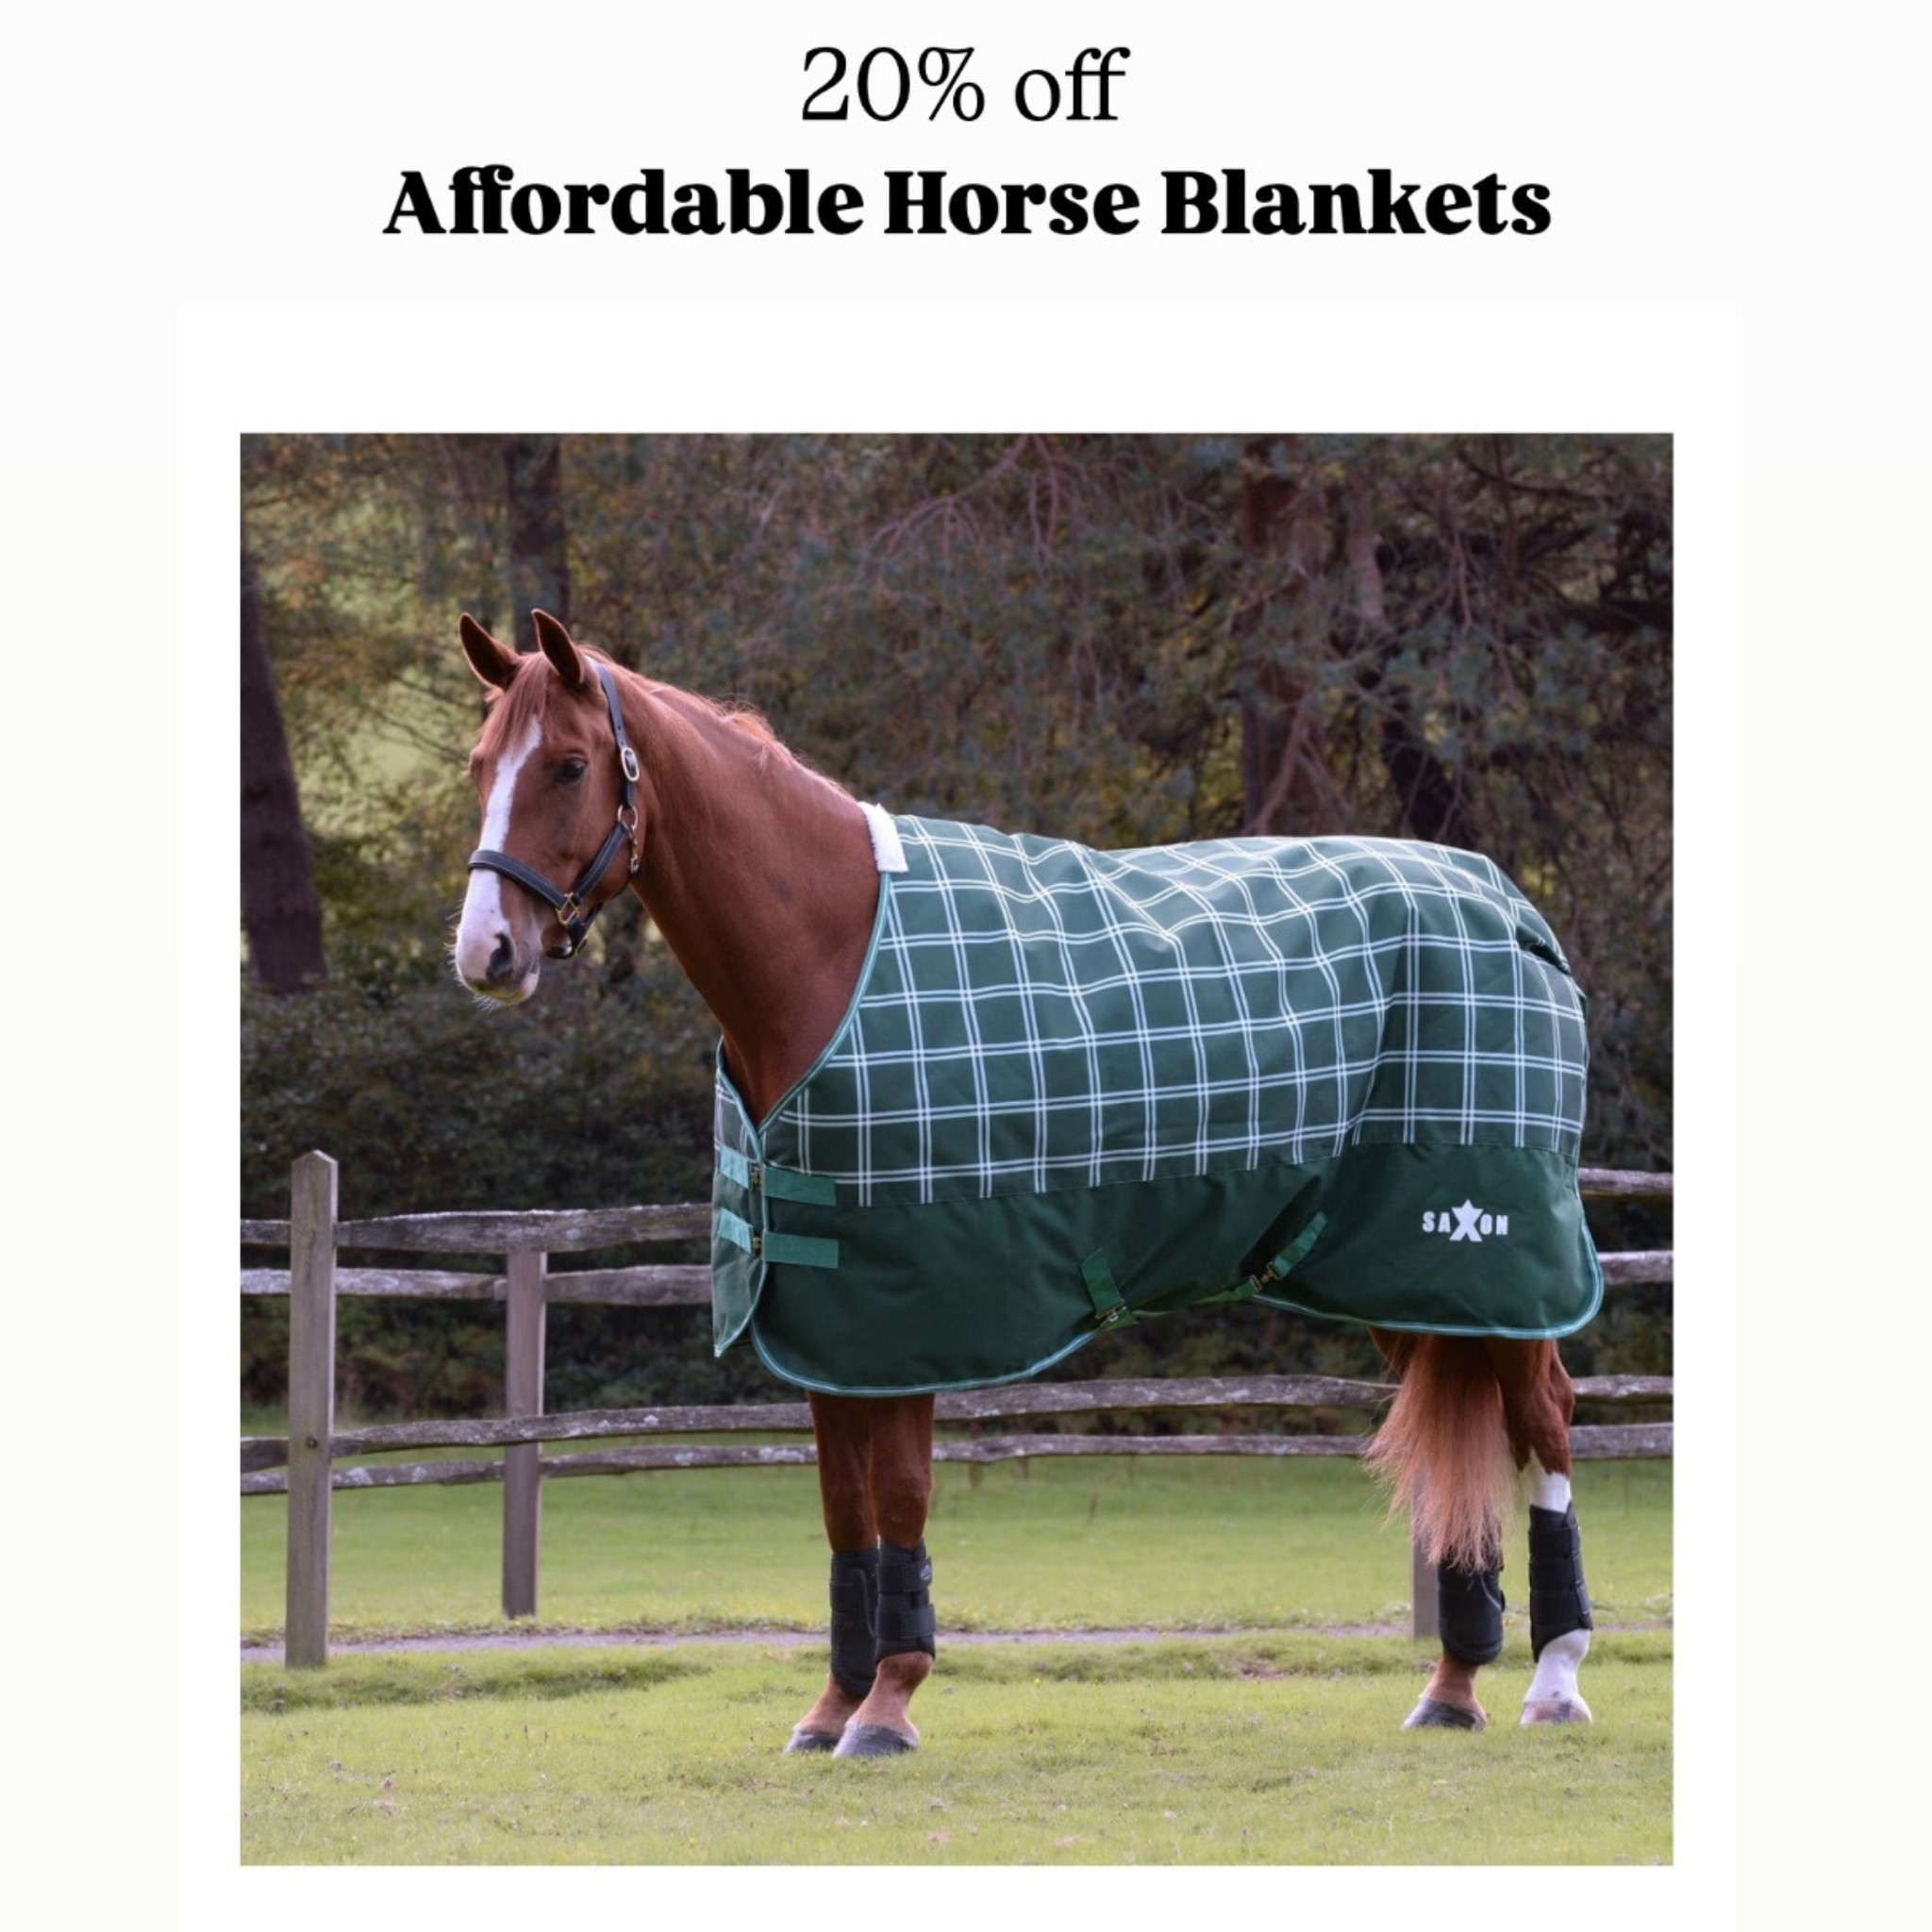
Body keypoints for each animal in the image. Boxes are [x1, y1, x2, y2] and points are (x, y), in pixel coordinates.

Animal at [450, 609, 1601, 1754]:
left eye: (567, 765)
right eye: (478, 765)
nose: (485, 953)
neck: (826, 951)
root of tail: (1505, 903)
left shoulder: (904, 1314)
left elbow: (901, 1495)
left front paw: (889, 1702)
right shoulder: (829, 1320)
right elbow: (843, 1510)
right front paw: (832, 1705)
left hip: (1492, 1257)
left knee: (1542, 1417)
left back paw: (1553, 1677)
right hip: (1401, 1275)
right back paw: (1452, 1685)